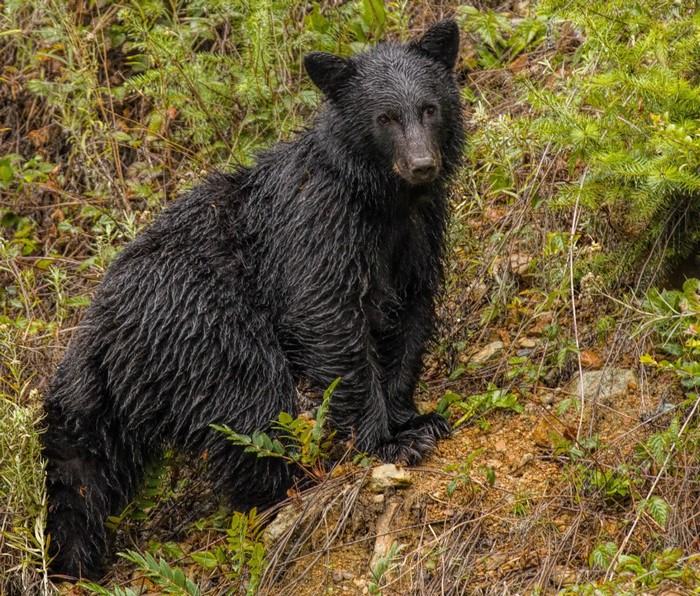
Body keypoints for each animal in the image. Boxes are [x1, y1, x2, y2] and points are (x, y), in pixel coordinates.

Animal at [42, 19, 465, 580]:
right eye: (385, 117)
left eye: (429, 108)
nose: (421, 164)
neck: (382, 200)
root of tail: (95, 335)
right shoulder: (317, 227)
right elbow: (330, 319)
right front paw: (386, 441)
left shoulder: (418, 235)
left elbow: (411, 317)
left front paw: (414, 418)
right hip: (204, 333)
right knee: (252, 403)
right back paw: (288, 481)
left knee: (85, 472)